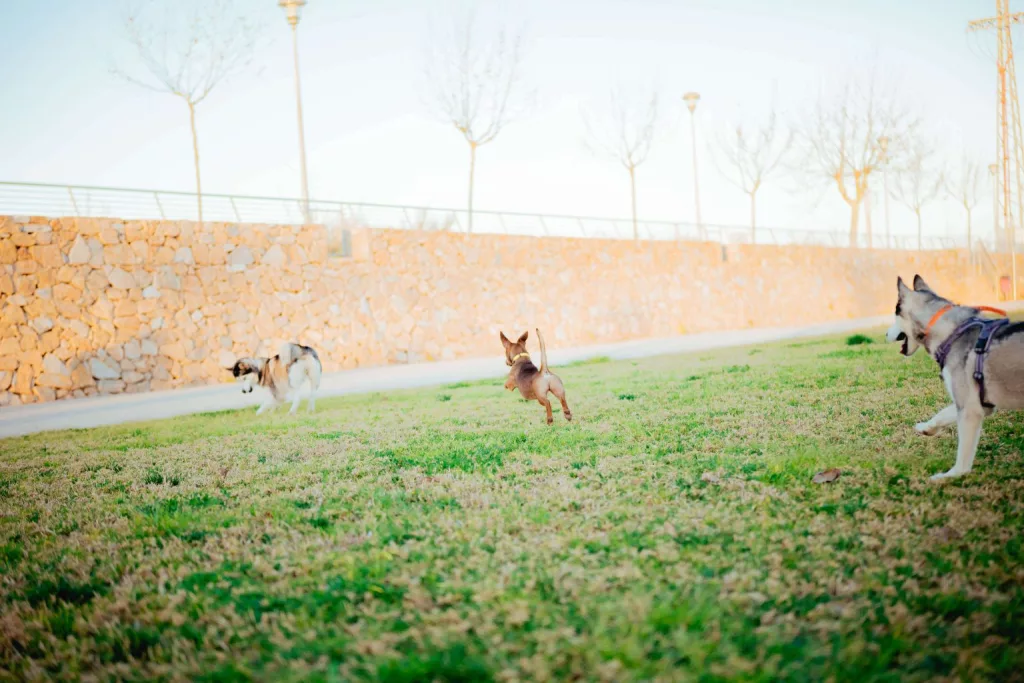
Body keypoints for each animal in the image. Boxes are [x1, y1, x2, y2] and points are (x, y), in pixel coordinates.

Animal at [884, 276, 1019, 481]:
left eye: (895, 316)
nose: (885, 334)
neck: (950, 332)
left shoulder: (970, 410)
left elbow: (963, 460)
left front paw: (949, 476)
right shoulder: (976, 402)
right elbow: (943, 414)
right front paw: (927, 428)